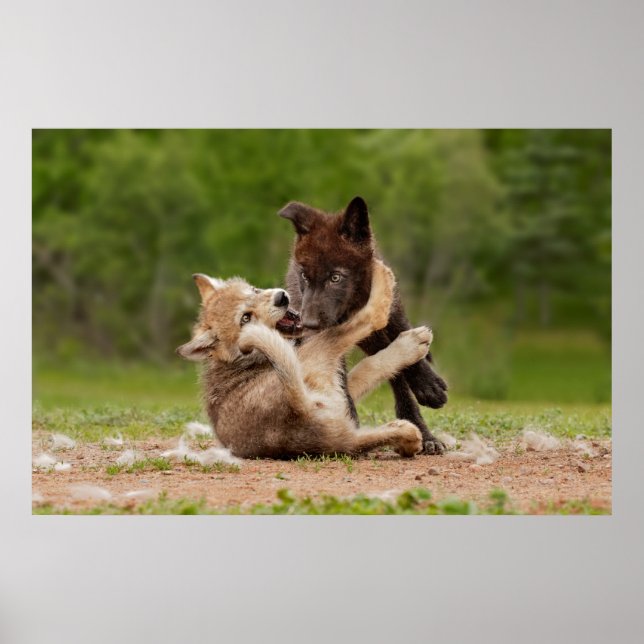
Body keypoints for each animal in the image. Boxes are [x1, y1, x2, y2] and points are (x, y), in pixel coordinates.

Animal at [176, 260, 432, 459]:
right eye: (245, 318)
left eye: (254, 290)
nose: (281, 298)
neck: (245, 360)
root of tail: (298, 409)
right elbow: (371, 359)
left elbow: (365, 371)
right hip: (319, 351)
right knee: (370, 318)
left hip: (344, 431)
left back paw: (408, 436)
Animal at [279, 196, 448, 455]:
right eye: (305, 277)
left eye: (335, 277)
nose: (307, 323)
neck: (353, 307)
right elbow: (340, 381)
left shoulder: (391, 315)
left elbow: (407, 347)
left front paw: (428, 386)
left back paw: (424, 431)